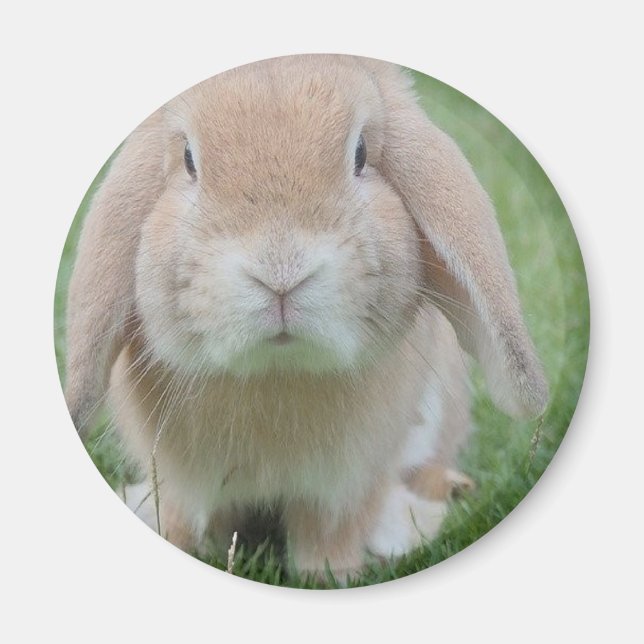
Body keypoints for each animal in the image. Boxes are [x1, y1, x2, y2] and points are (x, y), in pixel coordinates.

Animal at [64, 54, 548, 582]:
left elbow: (328, 532)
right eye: (189, 159)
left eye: (360, 154)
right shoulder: (184, 482)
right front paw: (182, 545)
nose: (280, 273)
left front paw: (332, 576)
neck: (277, 370)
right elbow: (188, 519)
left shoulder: (347, 483)